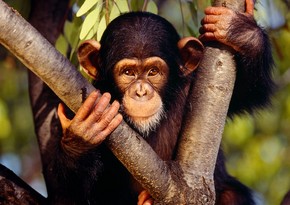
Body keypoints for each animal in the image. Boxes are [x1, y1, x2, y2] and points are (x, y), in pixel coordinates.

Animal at [47, 0, 274, 204]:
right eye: (128, 73)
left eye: (153, 71)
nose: (141, 92)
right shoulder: (79, 98)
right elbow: (66, 193)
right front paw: (83, 134)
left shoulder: (195, 85)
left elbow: (249, 91)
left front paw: (240, 31)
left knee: (231, 195)